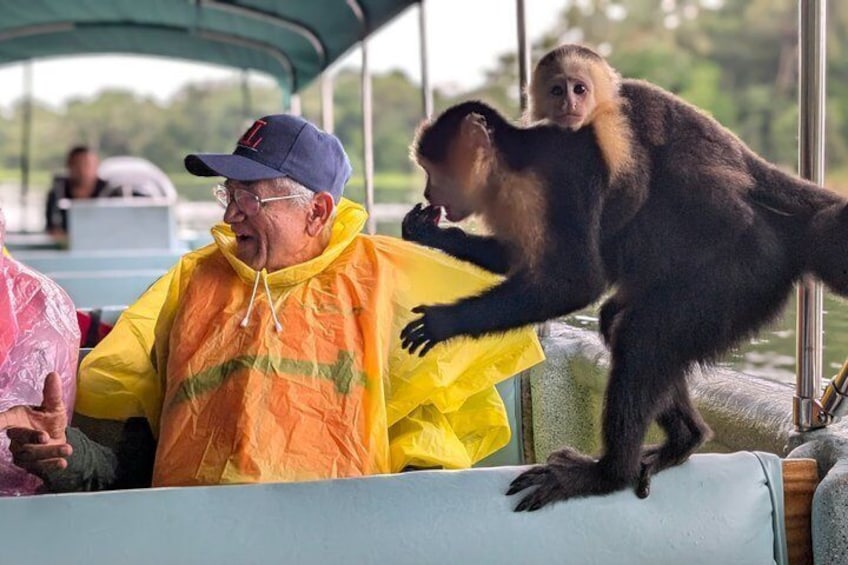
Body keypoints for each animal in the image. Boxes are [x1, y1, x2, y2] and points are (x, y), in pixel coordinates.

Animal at [399, 96, 848, 511]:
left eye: (434, 171)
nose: (428, 191)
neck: (512, 167)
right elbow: (520, 259)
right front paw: (428, 233)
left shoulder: (562, 175)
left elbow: (576, 282)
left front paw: (444, 322)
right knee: (625, 327)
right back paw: (683, 441)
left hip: (745, 274)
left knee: (642, 337)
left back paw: (608, 474)